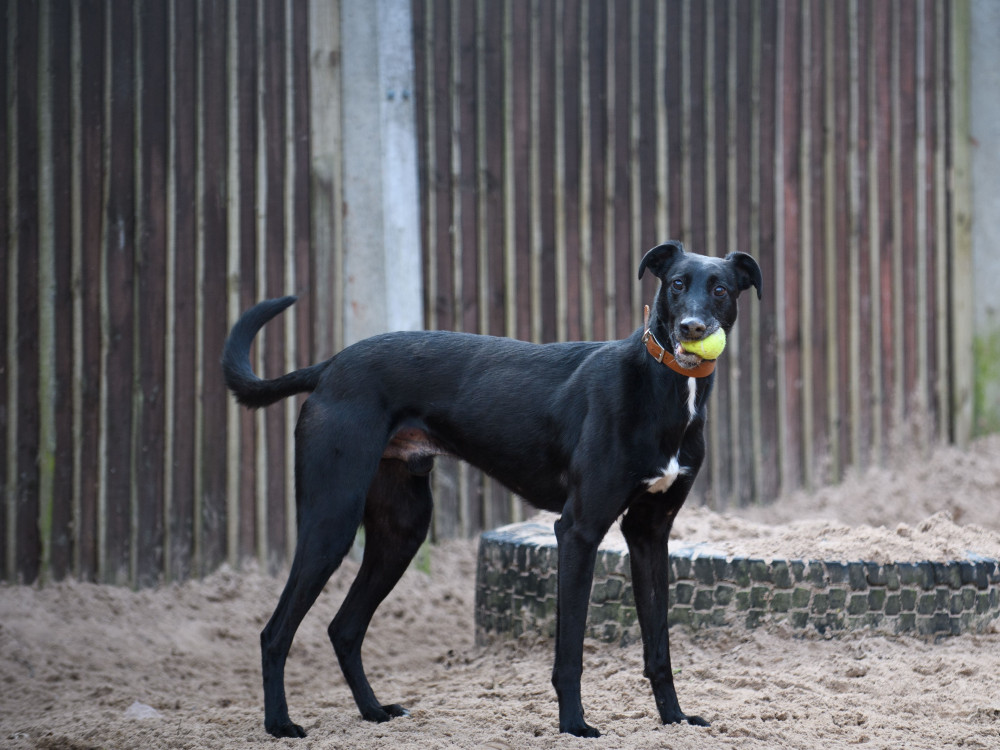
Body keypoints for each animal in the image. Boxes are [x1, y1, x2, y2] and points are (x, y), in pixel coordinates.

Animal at [223, 242, 760, 740]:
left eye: (720, 289)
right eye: (676, 283)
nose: (691, 328)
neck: (661, 387)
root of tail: (331, 366)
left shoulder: (650, 534)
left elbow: (659, 645)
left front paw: (675, 719)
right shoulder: (579, 531)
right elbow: (571, 648)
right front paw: (574, 725)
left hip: (402, 531)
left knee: (345, 628)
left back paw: (374, 712)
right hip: (331, 520)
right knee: (275, 632)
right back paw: (279, 724)